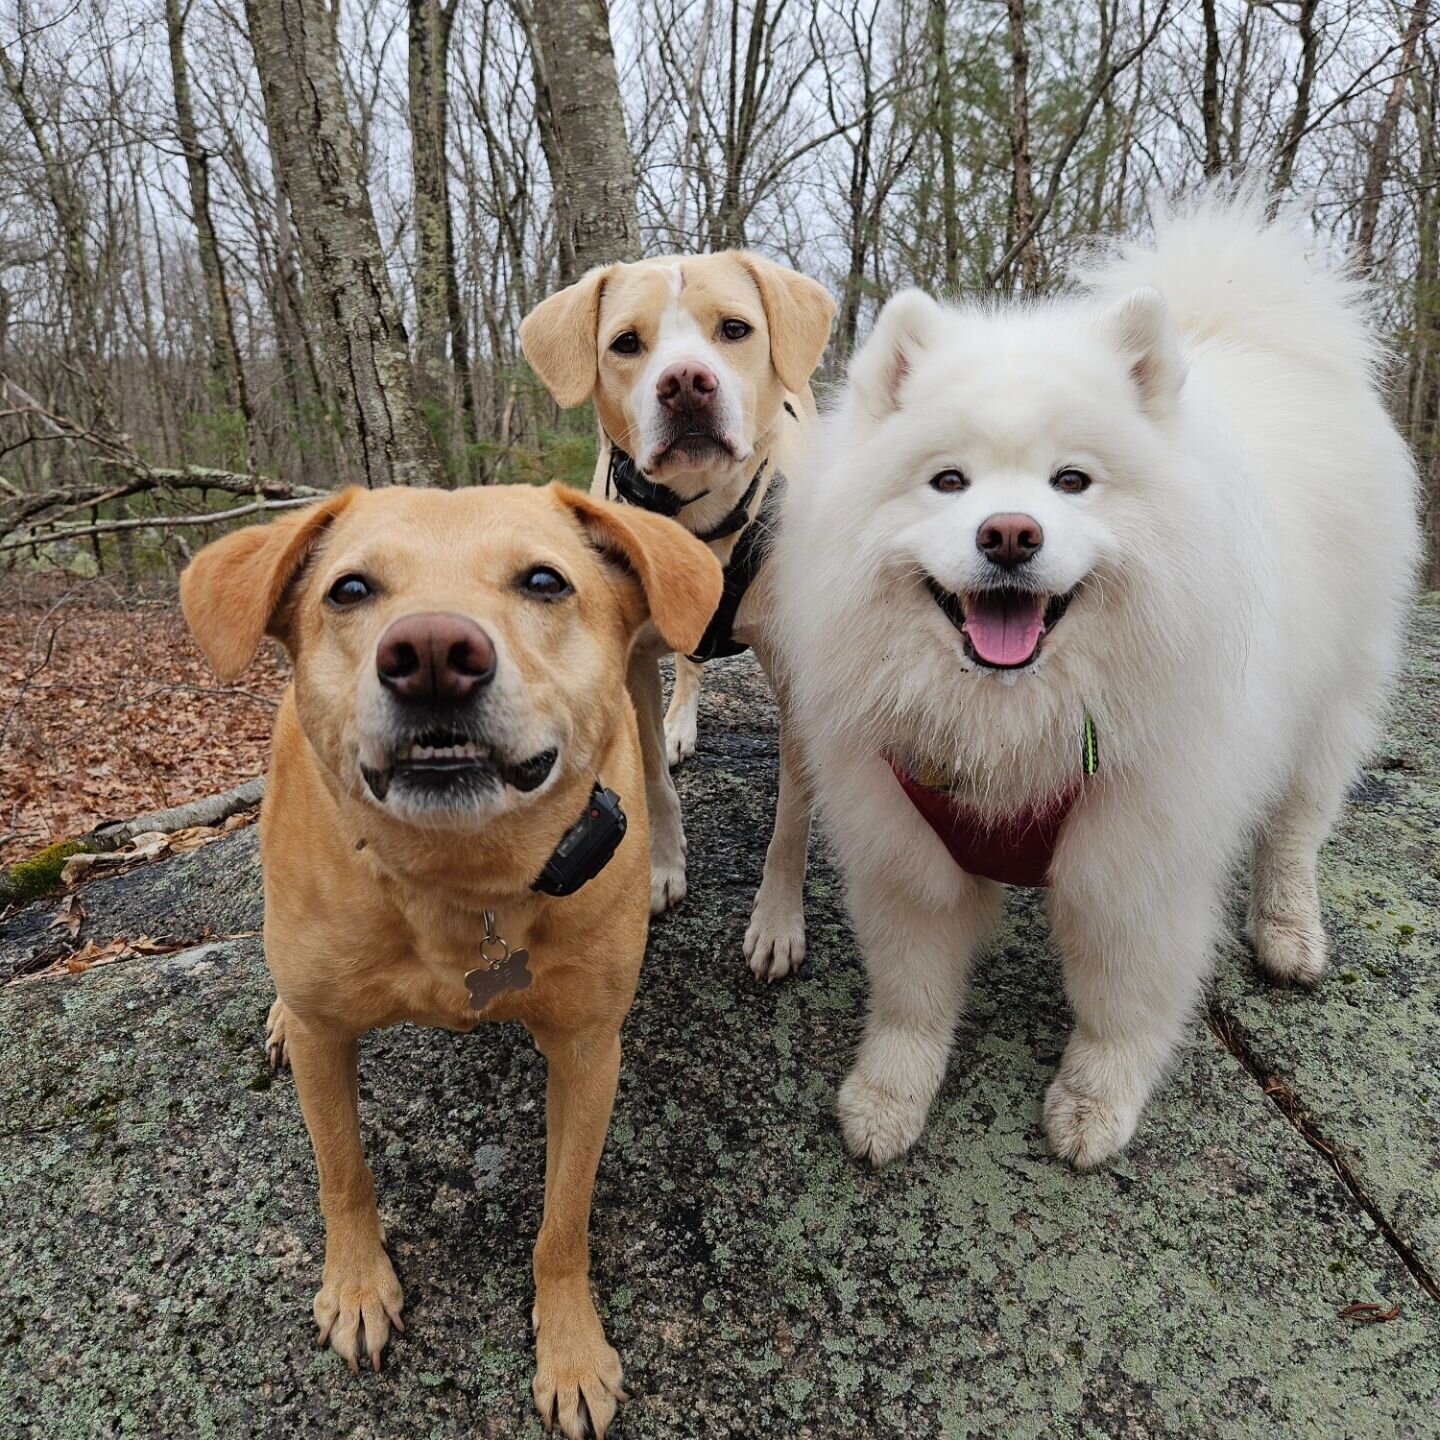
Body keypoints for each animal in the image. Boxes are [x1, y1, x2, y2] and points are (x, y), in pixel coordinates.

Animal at [180, 483, 720, 1440]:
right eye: (351, 590)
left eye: (544, 580)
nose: (432, 652)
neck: (458, 880)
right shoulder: (328, 1040)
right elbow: (343, 1172)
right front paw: (358, 1286)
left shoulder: (589, 1051)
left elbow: (563, 1222)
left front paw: (570, 1348)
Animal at [521, 253, 835, 984]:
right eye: (626, 343)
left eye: (735, 329)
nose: (687, 383)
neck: (700, 517)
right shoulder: (633, 662)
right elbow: (653, 784)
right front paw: (662, 870)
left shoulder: (799, 679)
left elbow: (791, 818)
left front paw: (778, 922)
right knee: (689, 668)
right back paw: (681, 724)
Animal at [771, 200, 1422, 1169]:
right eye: (948, 480)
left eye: (1072, 480)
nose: (1009, 534)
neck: (1011, 722)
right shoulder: (906, 852)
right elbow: (912, 997)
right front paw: (888, 1099)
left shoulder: (1135, 867)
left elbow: (1121, 1005)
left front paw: (1094, 1105)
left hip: (1333, 704)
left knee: (1295, 829)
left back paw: (1288, 932)